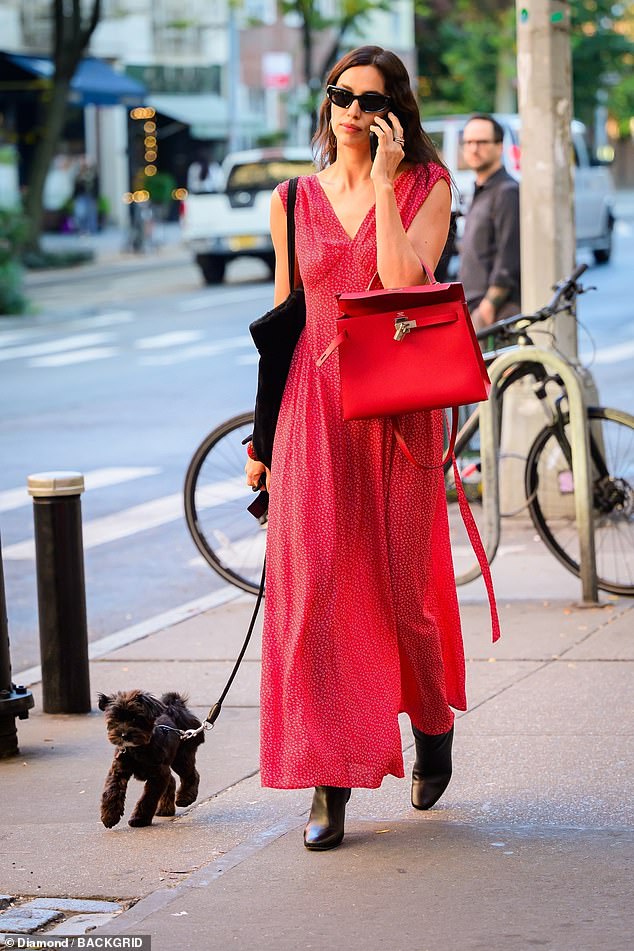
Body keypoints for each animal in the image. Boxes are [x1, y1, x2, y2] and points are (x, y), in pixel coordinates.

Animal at [98, 692, 205, 824]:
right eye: (115, 718)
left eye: (135, 718)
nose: (124, 735)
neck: (137, 749)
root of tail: (175, 709)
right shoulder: (118, 771)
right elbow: (111, 791)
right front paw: (109, 816)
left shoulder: (158, 775)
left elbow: (148, 798)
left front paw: (139, 819)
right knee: (172, 780)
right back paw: (165, 809)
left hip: (181, 758)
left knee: (191, 775)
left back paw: (185, 798)